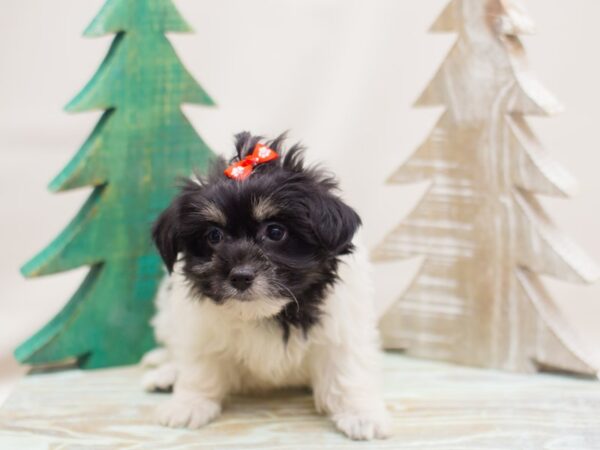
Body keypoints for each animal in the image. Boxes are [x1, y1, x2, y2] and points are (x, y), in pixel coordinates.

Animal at [143, 133, 392, 440]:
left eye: (275, 232)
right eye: (214, 236)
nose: (240, 276)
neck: (265, 313)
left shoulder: (342, 327)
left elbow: (347, 371)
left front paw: (361, 414)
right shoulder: (199, 327)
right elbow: (200, 366)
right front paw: (188, 404)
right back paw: (165, 373)